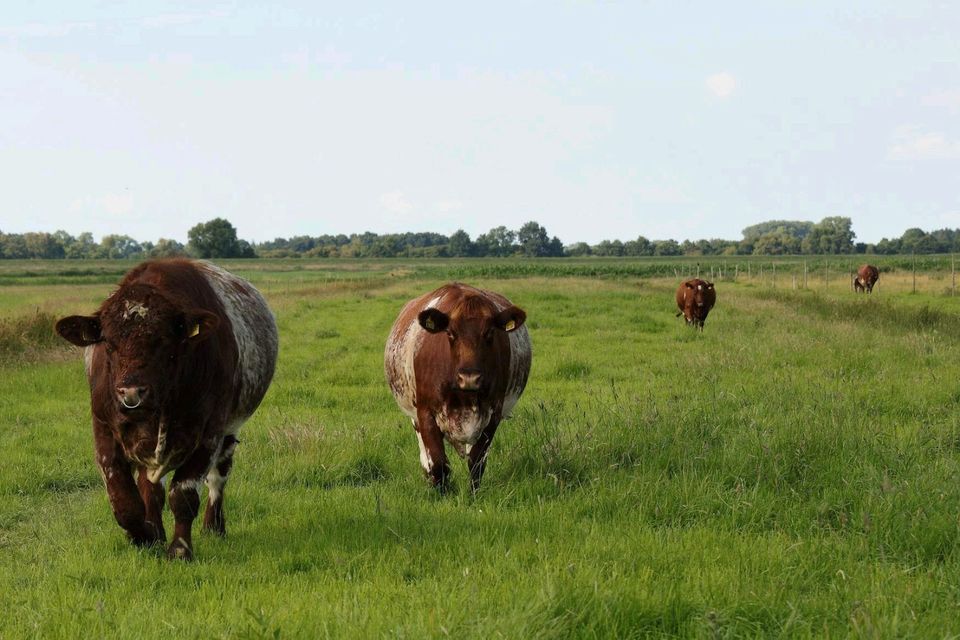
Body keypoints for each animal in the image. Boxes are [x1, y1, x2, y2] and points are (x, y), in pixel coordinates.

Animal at [384, 284, 532, 490]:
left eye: (489, 333)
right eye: (450, 333)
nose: (469, 378)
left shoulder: (493, 413)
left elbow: (477, 460)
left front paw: (473, 493)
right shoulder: (425, 413)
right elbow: (438, 463)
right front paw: (441, 492)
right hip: (415, 417)